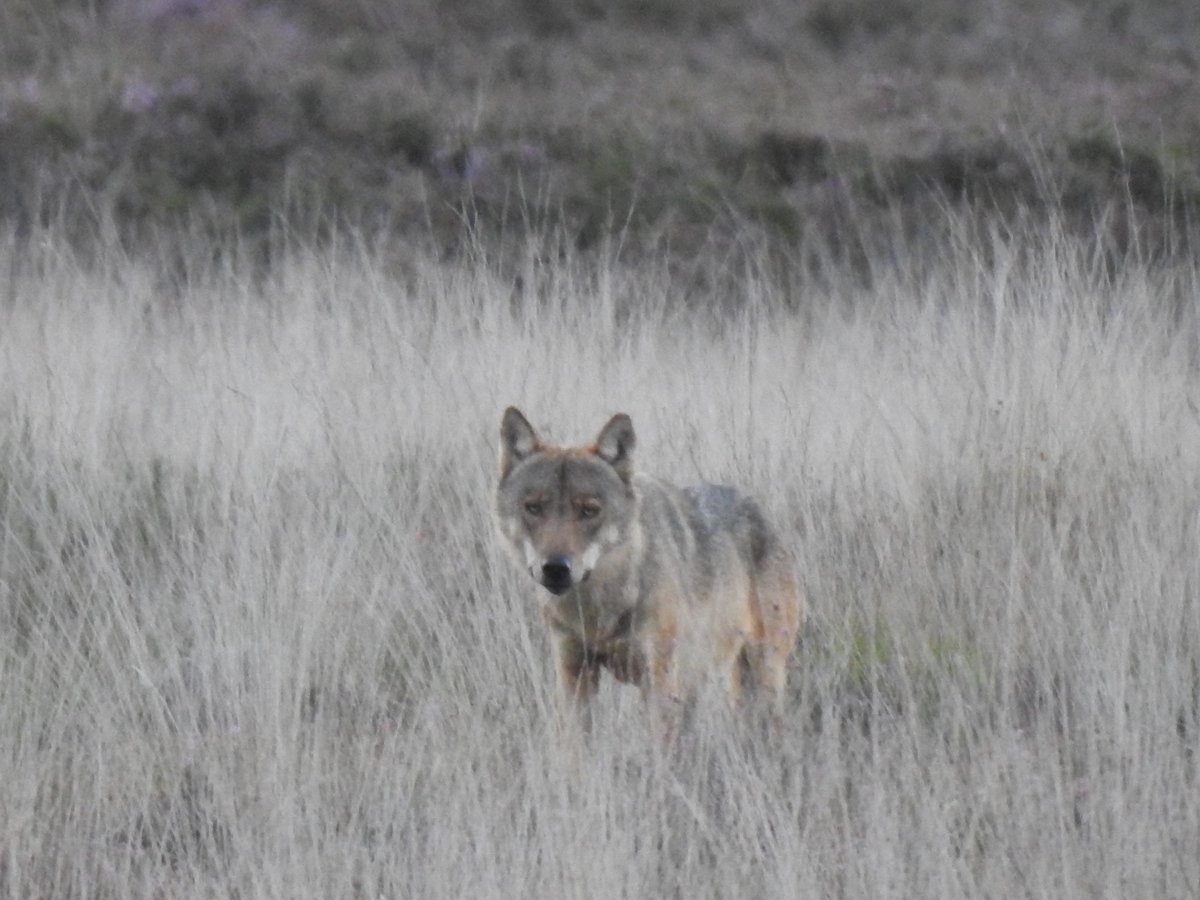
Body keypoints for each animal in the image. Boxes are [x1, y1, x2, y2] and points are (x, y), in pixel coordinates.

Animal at [494, 406, 802, 735]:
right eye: (533, 508)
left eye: (589, 510)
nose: (555, 568)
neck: (598, 609)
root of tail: (756, 507)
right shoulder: (573, 675)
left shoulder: (659, 682)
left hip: (761, 674)